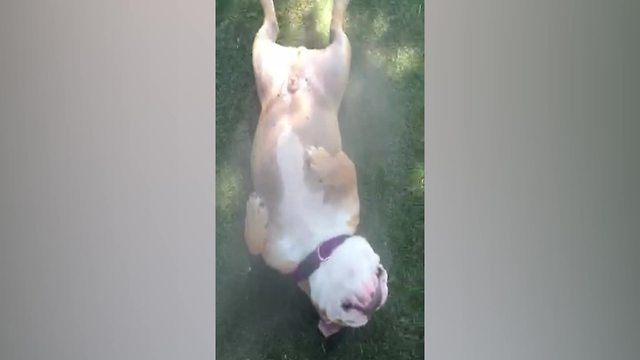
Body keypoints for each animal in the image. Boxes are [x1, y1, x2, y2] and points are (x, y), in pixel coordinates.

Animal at [244, 0, 384, 338]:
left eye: (348, 319)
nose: (373, 302)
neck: (319, 244)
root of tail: (298, 57)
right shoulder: (278, 253)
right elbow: (348, 170)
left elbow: (348, 169)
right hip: (267, 59)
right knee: (282, 23)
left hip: (332, 61)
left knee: (330, 28)